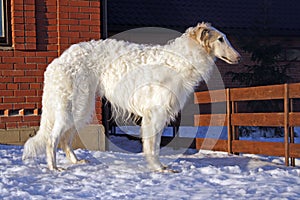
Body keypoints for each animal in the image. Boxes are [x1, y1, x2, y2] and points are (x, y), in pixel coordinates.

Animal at [22, 22, 240, 172]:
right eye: (220, 39)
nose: (238, 57)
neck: (181, 59)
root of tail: (58, 61)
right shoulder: (155, 113)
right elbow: (152, 146)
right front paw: (159, 168)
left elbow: (155, 144)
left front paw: (159, 167)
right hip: (73, 107)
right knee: (52, 139)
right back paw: (54, 168)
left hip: (81, 107)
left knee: (65, 140)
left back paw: (76, 161)